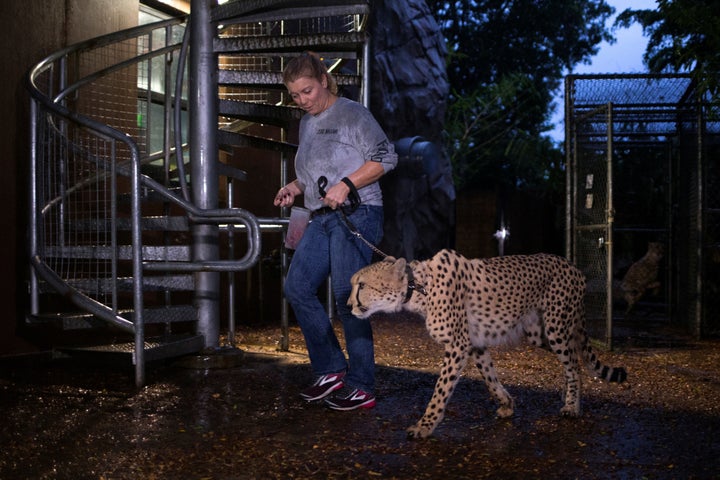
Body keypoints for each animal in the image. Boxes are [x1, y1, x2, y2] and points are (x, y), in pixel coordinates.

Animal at [348, 249, 624, 440]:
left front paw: (424, 427)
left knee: (574, 363)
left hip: (556, 327)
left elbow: (440, 390)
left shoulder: (458, 345)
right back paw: (568, 396)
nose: (349, 305)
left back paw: (572, 406)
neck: (418, 286)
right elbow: (490, 378)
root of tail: (573, 265)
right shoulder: (475, 343)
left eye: (362, 285)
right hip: (540, 333)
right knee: (573, 357)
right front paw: (507, 404)